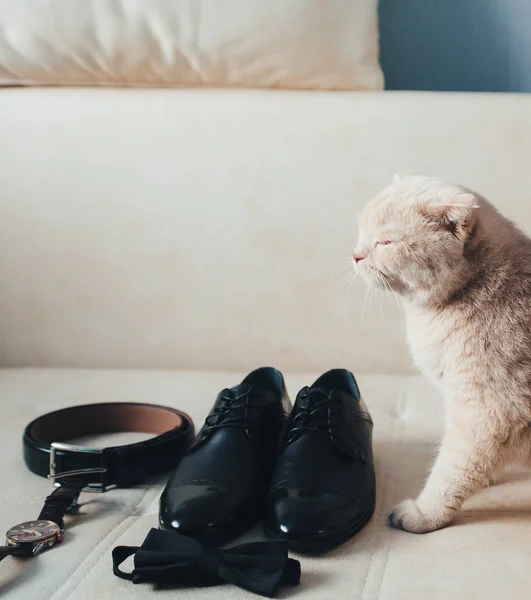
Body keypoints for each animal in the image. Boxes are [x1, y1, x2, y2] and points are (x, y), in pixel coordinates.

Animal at [354, 175, 531, 536]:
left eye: (385, 242)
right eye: (361, 232)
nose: (355, 256)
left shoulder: (488, 411)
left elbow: (451, 472)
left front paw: (424, 515)